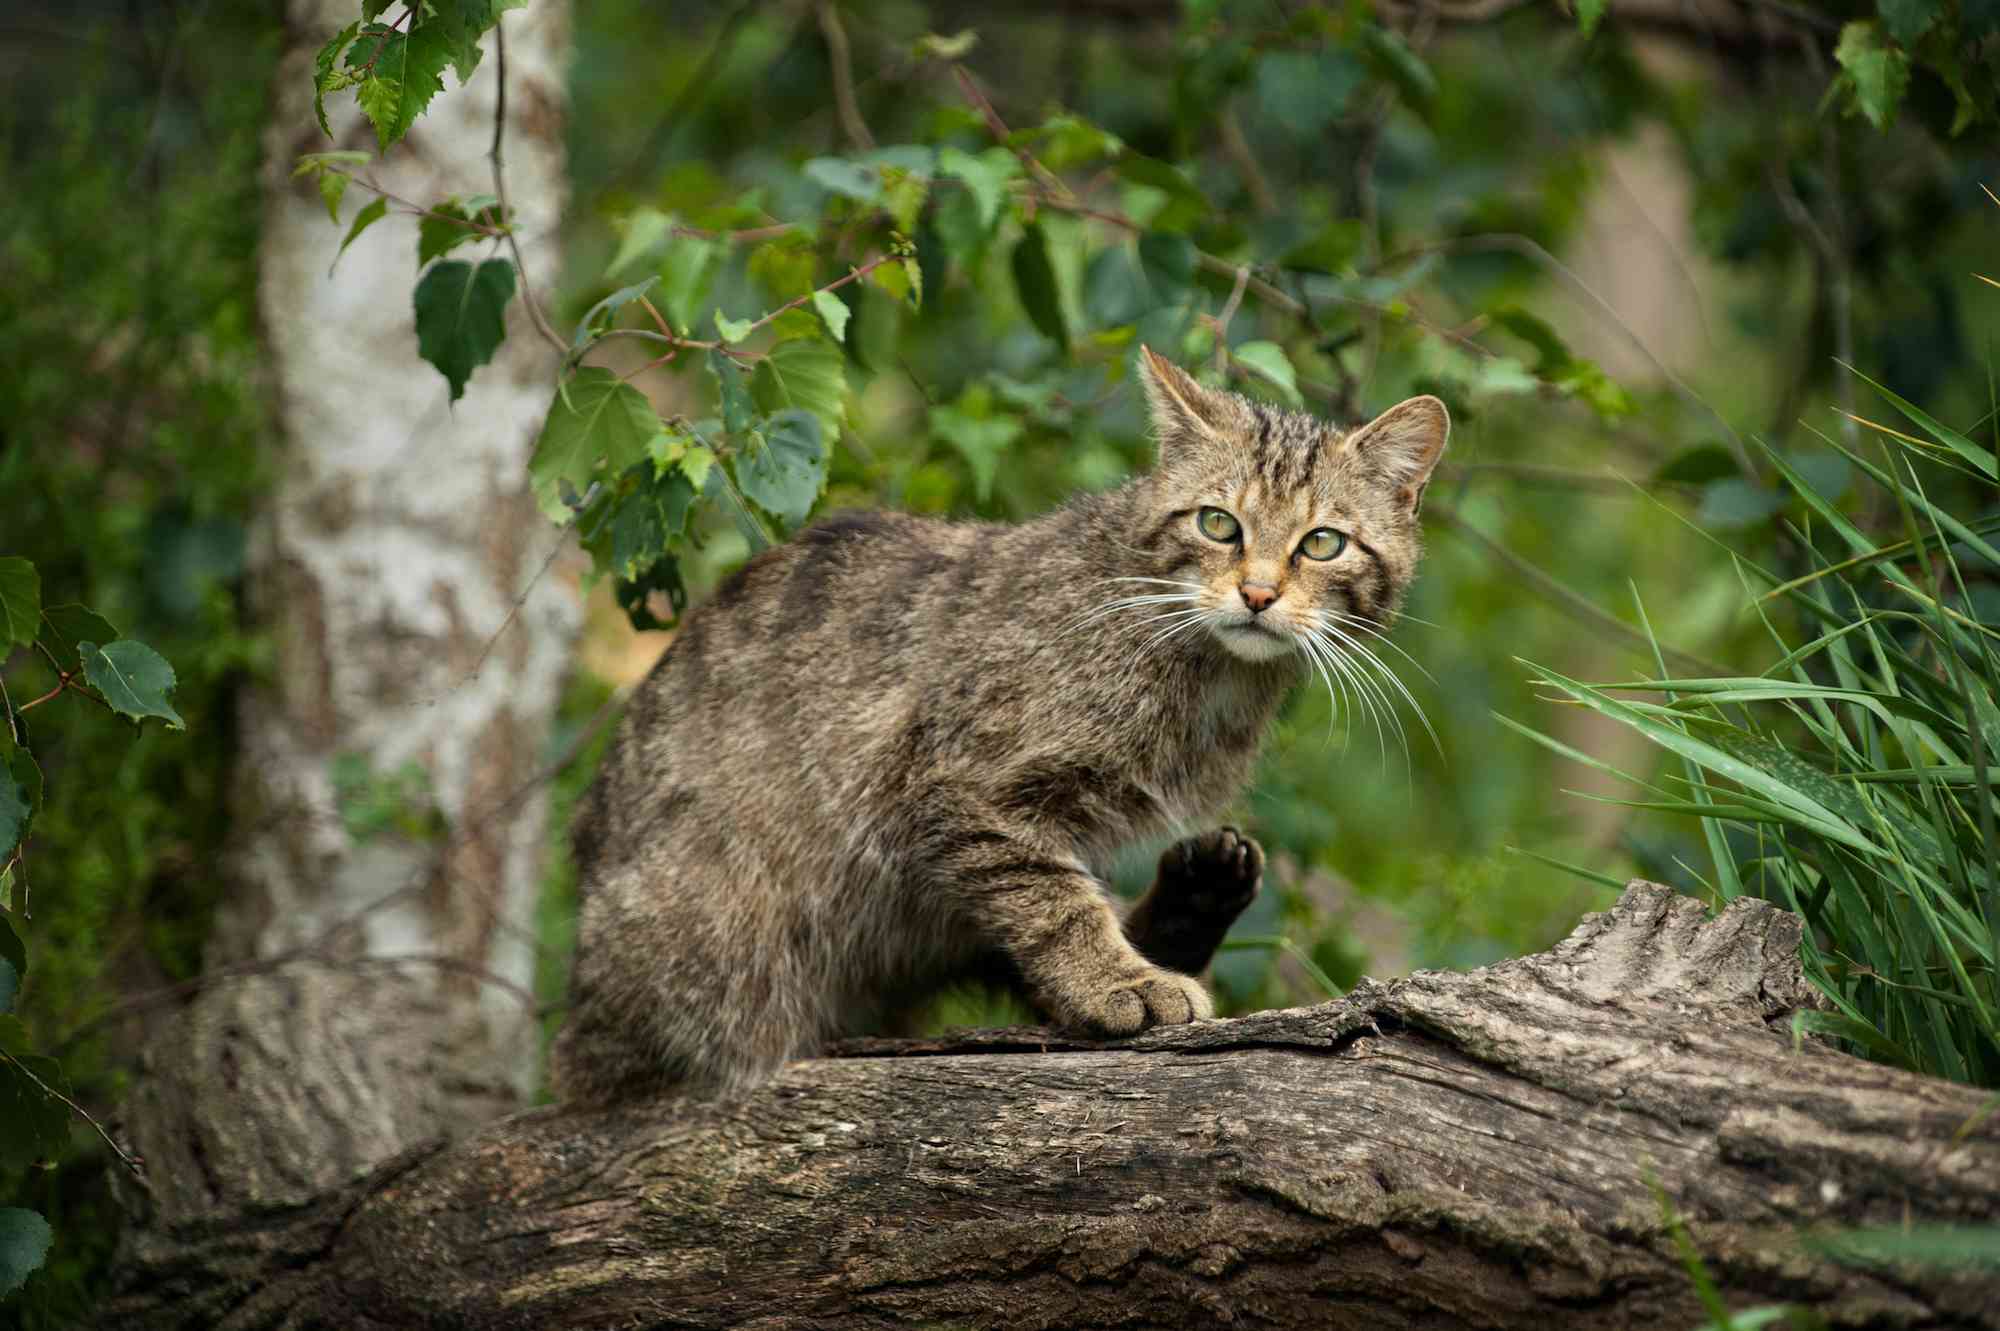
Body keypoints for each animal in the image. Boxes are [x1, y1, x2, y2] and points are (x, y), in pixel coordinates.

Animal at [556, 343, 1448, 1095]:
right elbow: (1053, 902)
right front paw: (1119, 979)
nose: (1258, 593)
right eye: (1218, 523)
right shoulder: (960, 786)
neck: (1209, 676)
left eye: (1322, 543)